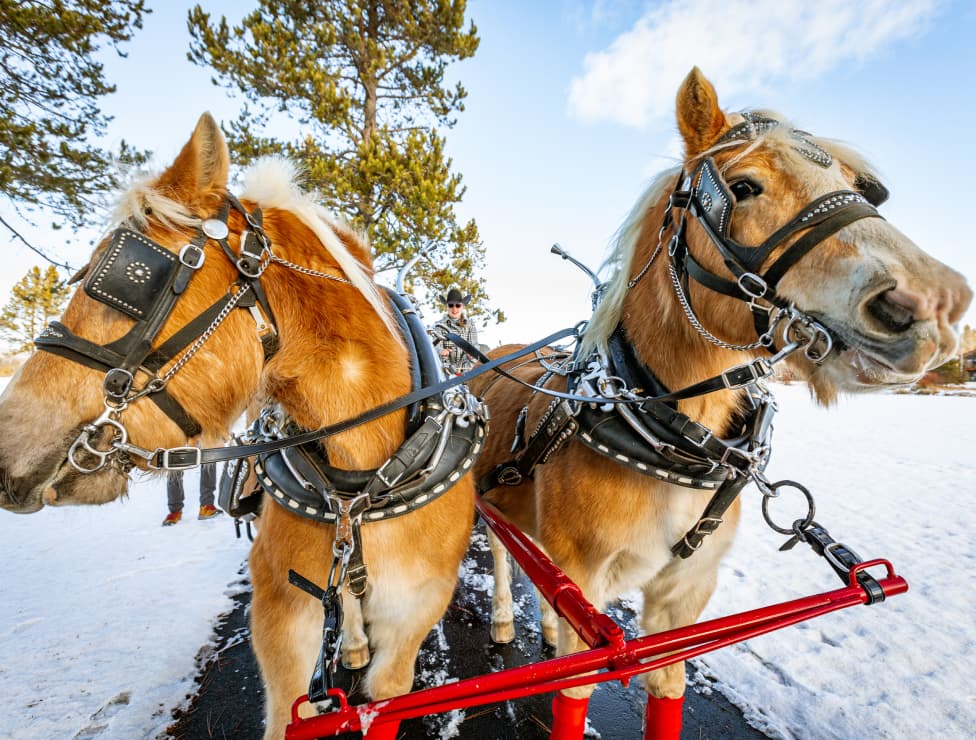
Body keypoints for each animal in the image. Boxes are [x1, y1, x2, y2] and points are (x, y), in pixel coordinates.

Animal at [470, 67, 972, 739]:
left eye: (852, 185)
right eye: (743, 186)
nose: (936, 303)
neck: (666, 439)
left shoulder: (683, 595)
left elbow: (667, 688)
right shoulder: (586, 580)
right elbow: (572, 691)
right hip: (494, 507)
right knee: (503, 556)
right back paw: (504, 620)